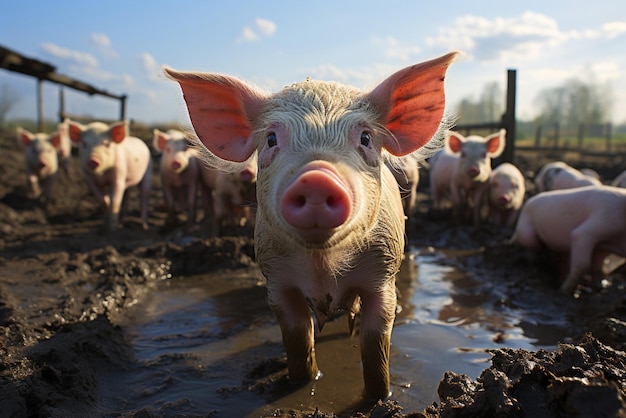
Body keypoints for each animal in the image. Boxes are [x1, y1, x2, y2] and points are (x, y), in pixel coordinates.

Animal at [165, 50, 458, 400]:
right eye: (271, 139)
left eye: (365, 137)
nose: (316, 177)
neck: (323, 267)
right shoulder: (276, 281)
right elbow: (297, 342)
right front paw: (302, 383)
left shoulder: (383, 276)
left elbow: (376, 349)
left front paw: (378, 398)